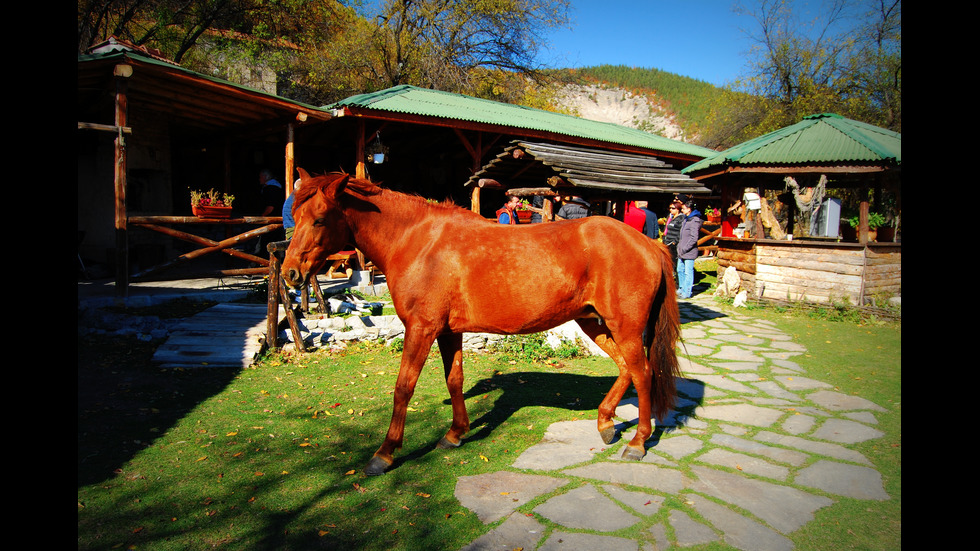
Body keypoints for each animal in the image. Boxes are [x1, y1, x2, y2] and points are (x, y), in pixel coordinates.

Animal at [282, 170, 680, 476]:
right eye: (296, 217)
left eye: (319, 218)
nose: (290, 274)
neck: (418, 242)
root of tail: (649, 242)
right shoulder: (448, 332)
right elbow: (454, 379)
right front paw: (455, 434)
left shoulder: (421, 329)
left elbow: (403, 388)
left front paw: (385, 453)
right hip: (594, 323)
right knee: (627, 368)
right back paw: (606, 424)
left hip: (624, 326)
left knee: (642, 373)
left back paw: (638, 442)